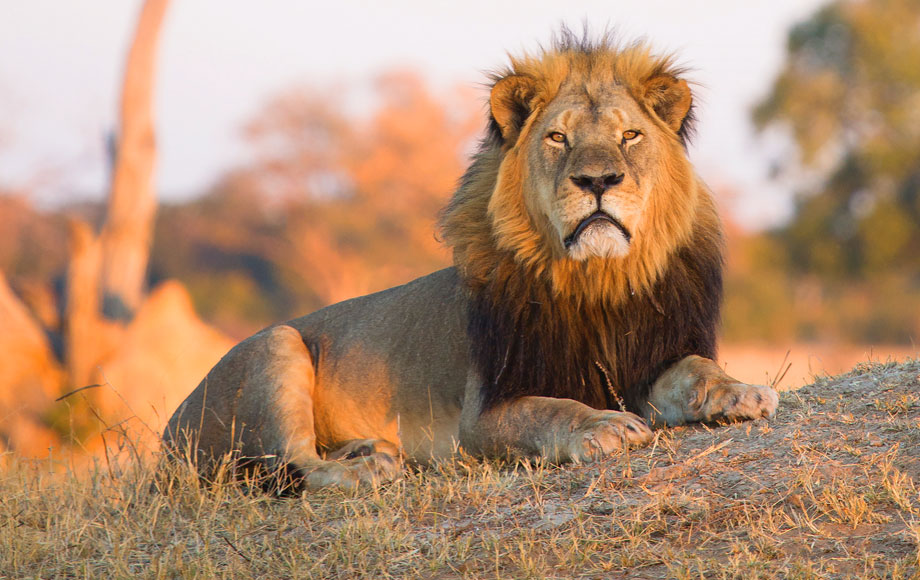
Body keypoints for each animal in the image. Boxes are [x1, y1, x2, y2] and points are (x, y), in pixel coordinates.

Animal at [164, 32, 776, 494]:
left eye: (631, 135)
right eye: (558, 137)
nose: (598, 180)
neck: (597, 280)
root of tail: (168, 437)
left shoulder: (652, 358)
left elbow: (697, 368)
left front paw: (740, 391)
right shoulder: (482, 415)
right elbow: (551, 409)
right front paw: (601, 424)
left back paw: (367, 446)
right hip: (276, 344)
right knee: (299, 467)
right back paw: (368, 467)